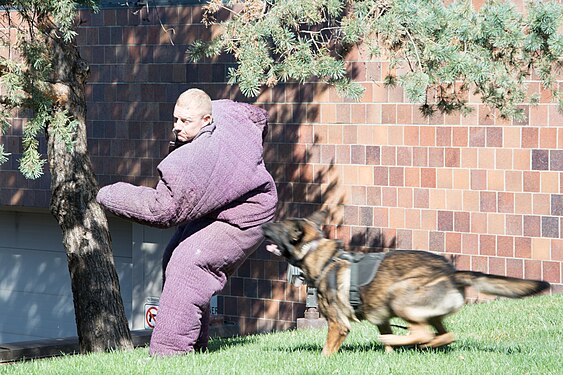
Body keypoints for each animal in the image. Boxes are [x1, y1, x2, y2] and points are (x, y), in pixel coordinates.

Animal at [264, 213, 552, 356]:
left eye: (277, 226)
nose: (263, 225)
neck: (318, 255)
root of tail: (452, 272)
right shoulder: (381, 317)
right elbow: (388, 342)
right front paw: (390, 354)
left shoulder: (338, 324)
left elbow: (327, 350)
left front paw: (323, 361)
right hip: (427, 312)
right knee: (443, 335)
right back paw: (419, 344)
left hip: (400, 297)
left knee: (423, 332)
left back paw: (409, 340)